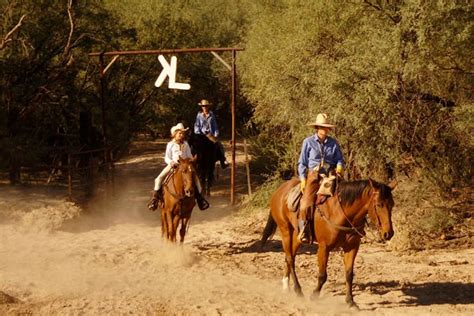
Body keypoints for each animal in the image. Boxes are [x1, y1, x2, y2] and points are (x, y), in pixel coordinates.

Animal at [260, 174, 396, 308]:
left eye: (392, 204)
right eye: (379, 204)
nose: (388, 233)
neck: (341, 213)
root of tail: (279, 190)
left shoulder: (352, 247)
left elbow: (349, 274)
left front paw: (350, 301)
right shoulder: (324, 247)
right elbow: (322, 275)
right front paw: (314, 295)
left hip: (297, 235)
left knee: (290, 256)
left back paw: (286, 286)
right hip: (285, 231)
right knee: (290, 258)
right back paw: (298, 290)